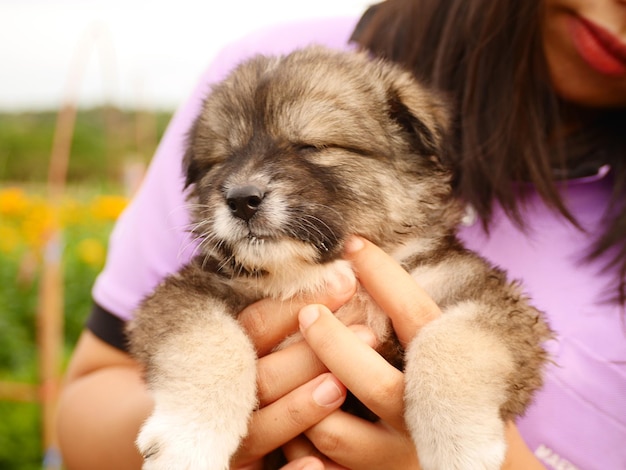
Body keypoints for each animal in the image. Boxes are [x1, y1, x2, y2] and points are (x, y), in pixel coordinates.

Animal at [128, 45, 552, 470]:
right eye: (222, 159)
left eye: (311, 146)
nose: (241, 200)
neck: (311, 272)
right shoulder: (187, 292)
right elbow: (208, 344)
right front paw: (187, 442)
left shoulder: (488, 297)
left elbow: (454, 343)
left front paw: (458, 445)